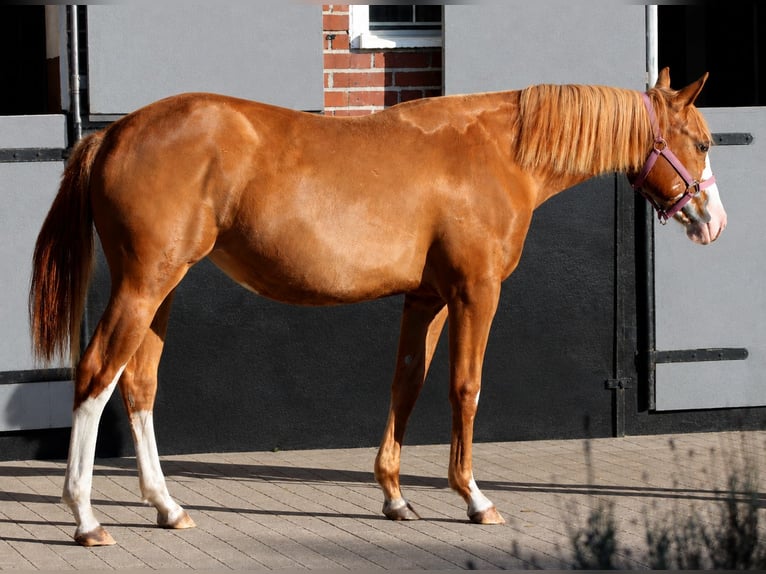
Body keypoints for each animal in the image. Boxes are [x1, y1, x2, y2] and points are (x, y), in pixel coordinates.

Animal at [29, 67, 726, 546]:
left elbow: (406, 385)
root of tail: (112, 133)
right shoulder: (476, 292)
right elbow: (465, 388)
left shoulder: (427, 298)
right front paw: (474, 498)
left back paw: (167, 507)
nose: (713, 224)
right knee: (96, 375)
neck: (497, 152)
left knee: (138, 384)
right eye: (700, 142)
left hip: (162, 290)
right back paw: (85, 517)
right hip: (143, 285)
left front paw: (394, 496)